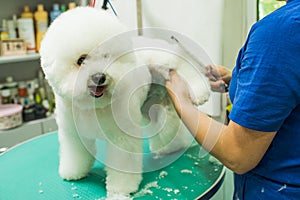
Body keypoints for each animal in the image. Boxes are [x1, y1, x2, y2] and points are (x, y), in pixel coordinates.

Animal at [39, 7, 210, 198]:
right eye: (81, 60)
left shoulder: (122, 138)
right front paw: (74, 172)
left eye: (107, 56)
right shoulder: (73, 134)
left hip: (165, 61)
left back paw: (200, 91)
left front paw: (121, 188)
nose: (99, 77)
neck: (94, 107)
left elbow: (123, 164)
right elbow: (76, 154)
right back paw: (170, 148)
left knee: (185, 68)